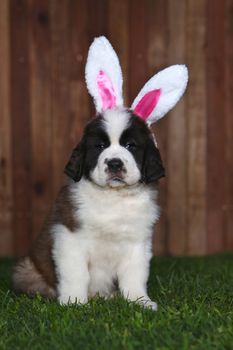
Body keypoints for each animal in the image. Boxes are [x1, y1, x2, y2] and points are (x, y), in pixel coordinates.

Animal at [12, 36, 187, 312]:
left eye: (131, 146)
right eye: (100, 146)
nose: (114, 163)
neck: (113, 198)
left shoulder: (137, 242)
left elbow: (135, 275)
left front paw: (140, 301)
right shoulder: (69, 237)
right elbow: (77, 273)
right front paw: (74, 302)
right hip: (26, 270)